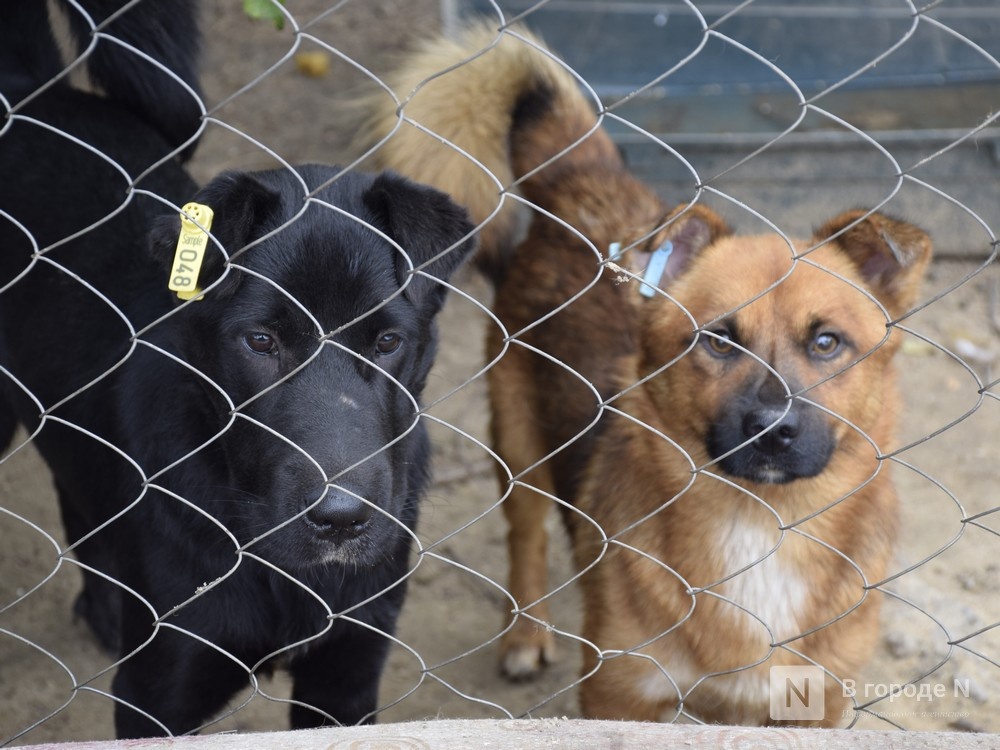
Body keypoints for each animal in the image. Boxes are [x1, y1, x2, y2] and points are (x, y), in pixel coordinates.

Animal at [0, 0, 476, 740]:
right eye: (260, 341)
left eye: (387, 341)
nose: (341, 520)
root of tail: (31, 94)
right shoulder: (158, 691)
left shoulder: (346, 679)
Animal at [356, 20, 932, 724]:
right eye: (717, 341)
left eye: (827, 342)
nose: (773, 430)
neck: (759, 527)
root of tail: (585, 183)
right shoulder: (619, 693)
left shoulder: (815, 704)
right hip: (518, 440)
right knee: (527, 536)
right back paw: (525, 634)